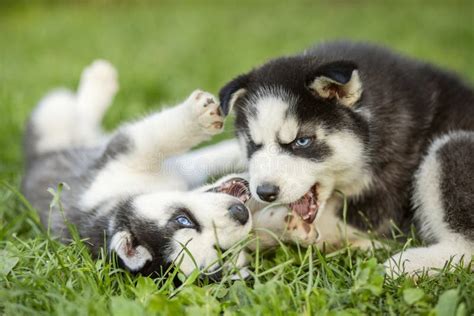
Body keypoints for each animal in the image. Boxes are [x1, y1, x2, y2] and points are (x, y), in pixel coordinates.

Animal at [219, 40, 474, 276]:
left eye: (302, 141)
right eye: (253, 144)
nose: (265, 192)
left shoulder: (382, 201)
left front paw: (261, 227)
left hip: (451, 147)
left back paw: (405, 264)